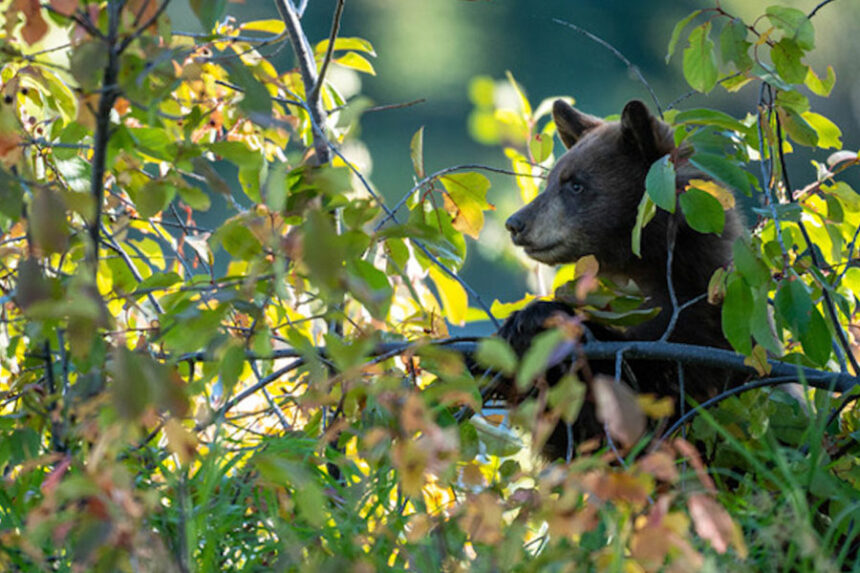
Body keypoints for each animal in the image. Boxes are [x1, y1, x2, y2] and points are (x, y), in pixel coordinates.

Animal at [495, 99, 743, 459]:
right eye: (552, 179)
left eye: (576, 184)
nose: (516, 223)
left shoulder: (703, 333)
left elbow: (650, 395)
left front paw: (536, 317)